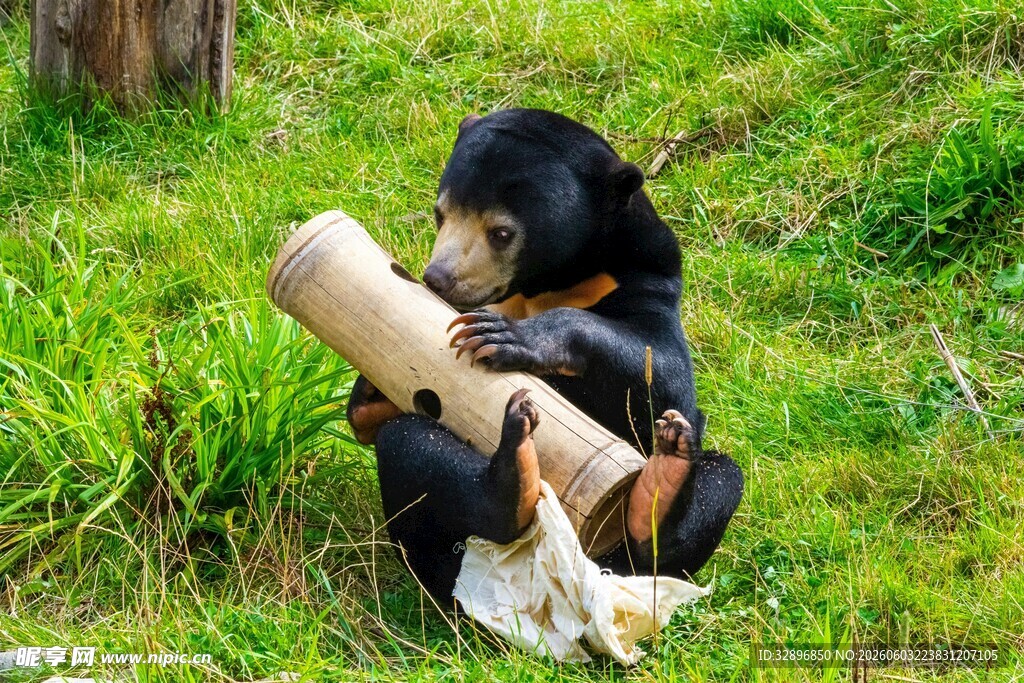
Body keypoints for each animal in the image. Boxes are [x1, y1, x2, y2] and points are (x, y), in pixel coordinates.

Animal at [347, 108, 744, 606]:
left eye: (501, 233)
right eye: (440, 215)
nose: (438, 278)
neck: (544, 285)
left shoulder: (648, 279)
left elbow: (664, 373)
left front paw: (504, 337)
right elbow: (372, 418)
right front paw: (371, 381)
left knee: (718, 481)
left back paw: (661, 484)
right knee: (411, 443)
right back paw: (512, 482)